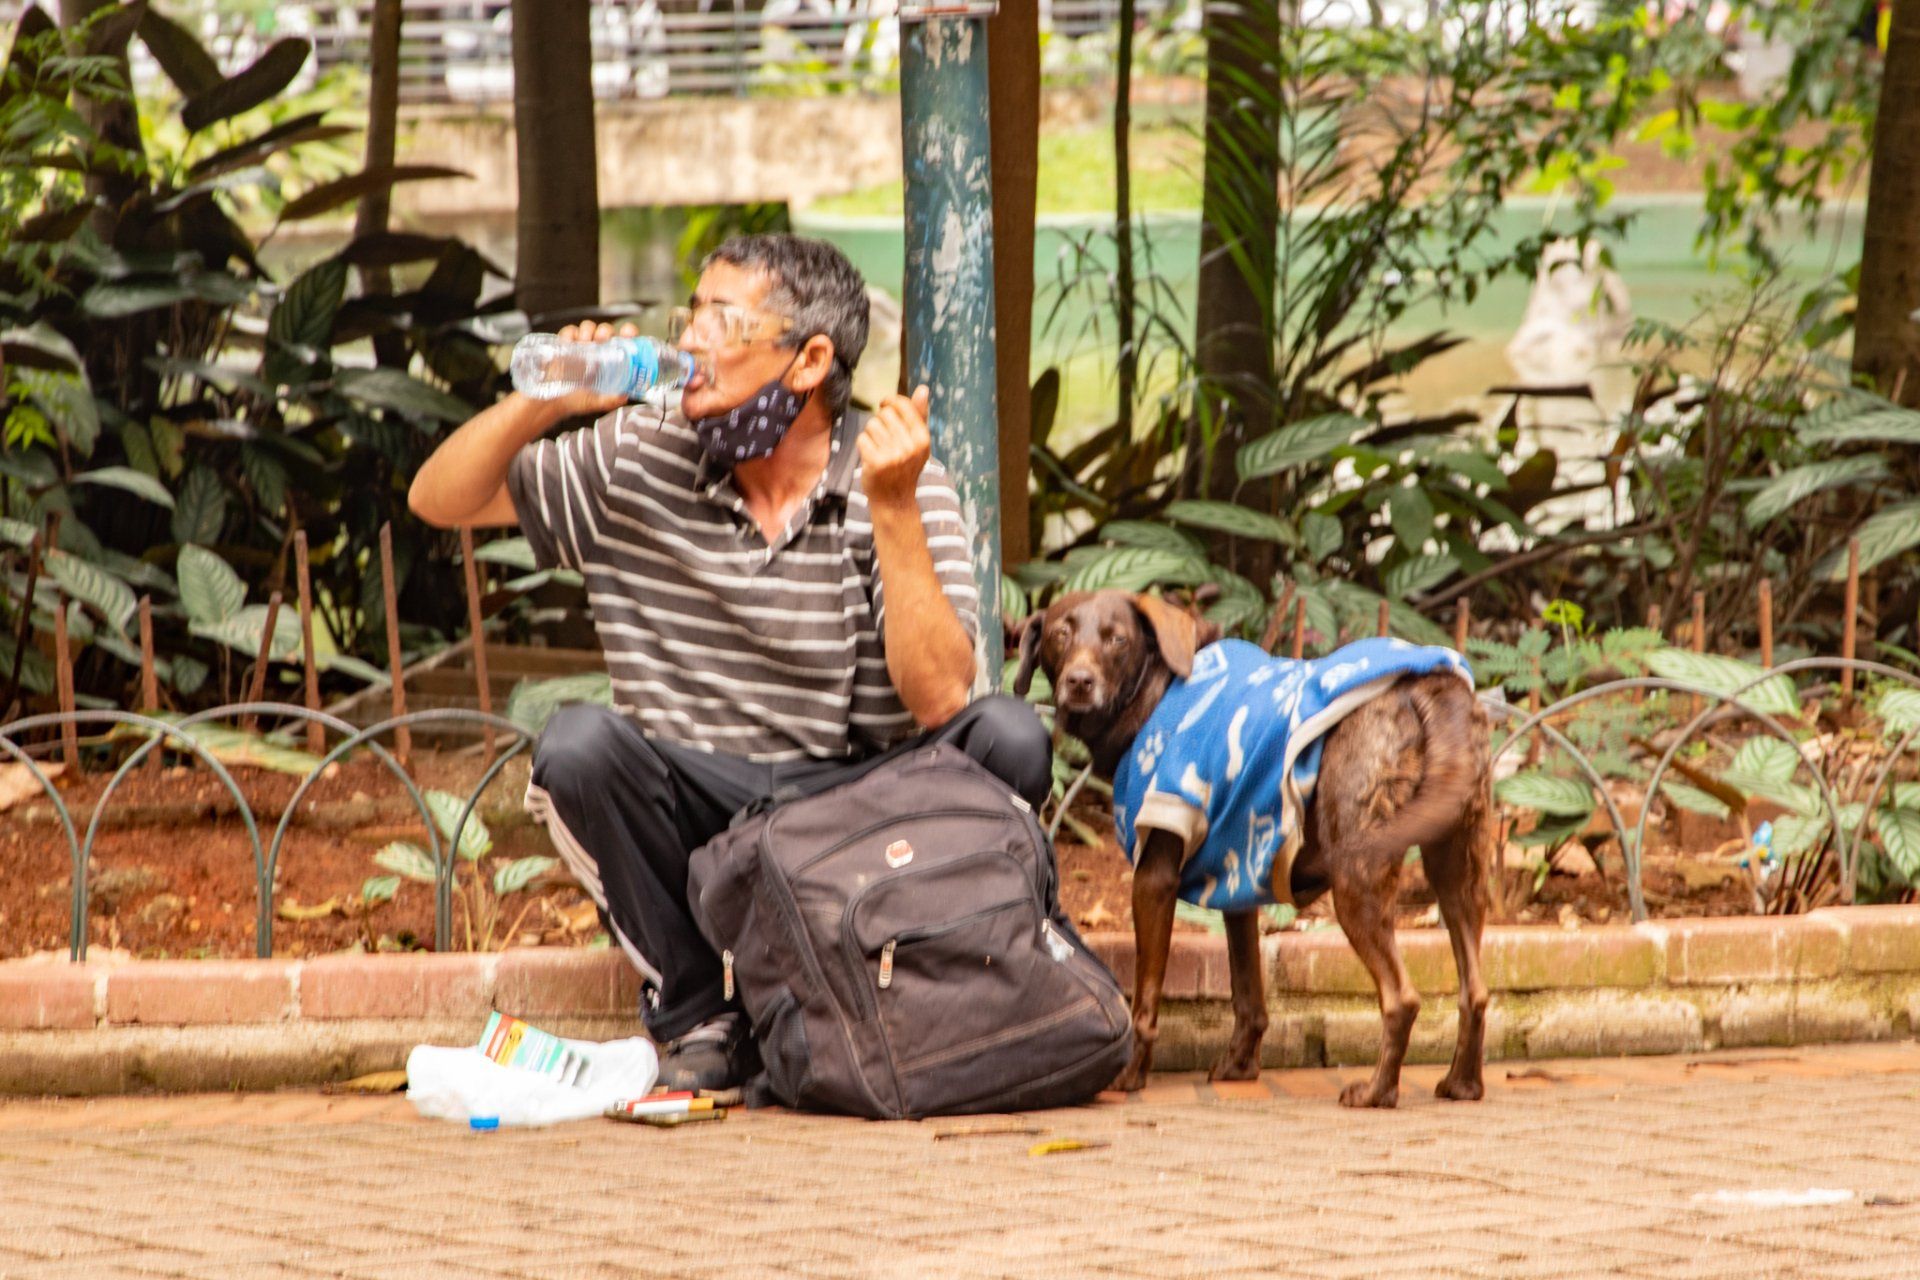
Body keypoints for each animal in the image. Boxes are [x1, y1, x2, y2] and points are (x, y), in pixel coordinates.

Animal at [1014, 591, 1494, 1108]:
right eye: (1060, 634)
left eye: (1116, 639)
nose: (1079, 682)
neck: (1155, 692)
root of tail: (1426, 686)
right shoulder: (1237, 881)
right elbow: (1248, 993)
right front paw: (1239, 1067)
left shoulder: (1154, 877)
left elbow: (1146, 996)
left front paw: (1130, 1074)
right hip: (1458, 870)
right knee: (1475, 990)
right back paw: (1462, 1083)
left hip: (1358, 877)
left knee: (1401, 997)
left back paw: (1376, 1092)